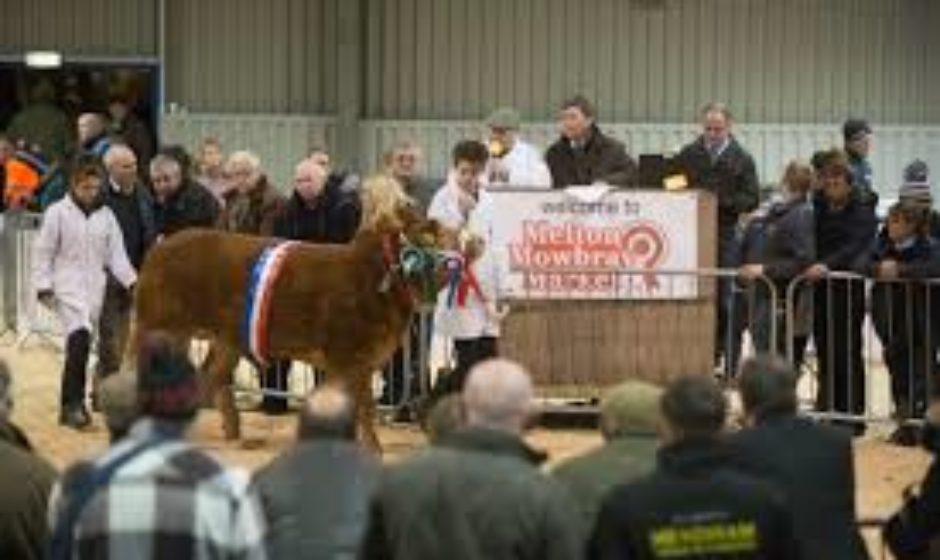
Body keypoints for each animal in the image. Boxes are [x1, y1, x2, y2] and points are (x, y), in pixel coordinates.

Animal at [129, 177, 452, 448]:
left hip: (226, 339)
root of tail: (158, 248)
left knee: (211, 375)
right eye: (423, 240)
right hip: (160, 325)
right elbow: (363, 409)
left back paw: (232, 433)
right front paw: (372, 452)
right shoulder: (348, 357)